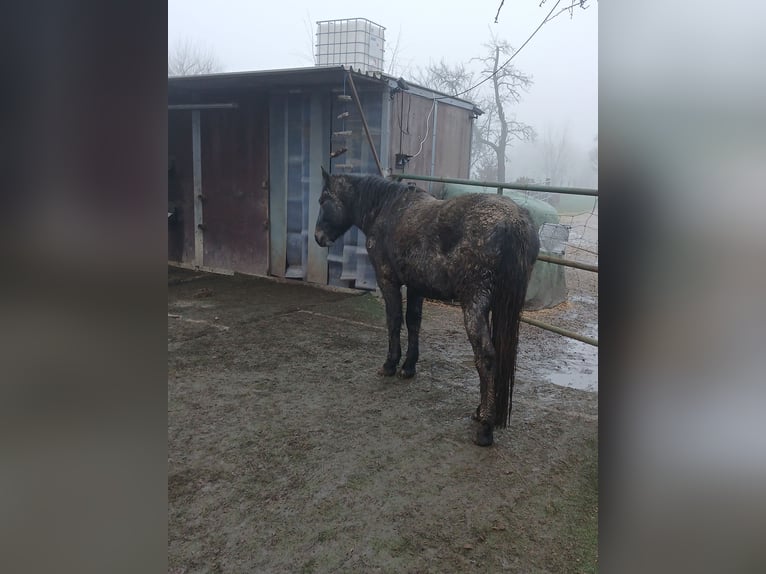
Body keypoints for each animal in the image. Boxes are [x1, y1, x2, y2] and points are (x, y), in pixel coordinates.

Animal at [316, 169, 544, 448]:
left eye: (323, 200)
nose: (318, 237)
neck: (387, 209)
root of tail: (515, 221)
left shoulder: (388, 281)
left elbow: (394, 321)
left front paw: (390, 365)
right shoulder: (416, 286)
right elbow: (414, 322)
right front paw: (408, 367)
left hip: (474, 305)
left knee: (486, 356)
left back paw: (486, 427)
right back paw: (480, 412)